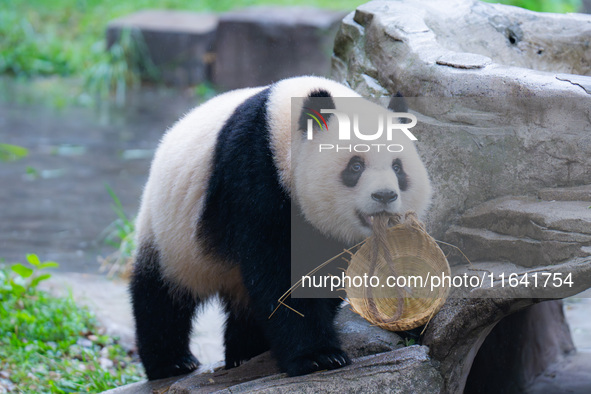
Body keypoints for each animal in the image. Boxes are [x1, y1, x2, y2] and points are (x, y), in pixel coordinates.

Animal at [132, 75, 432, 380]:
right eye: (356, 166)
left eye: (398, 168)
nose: (385, 196)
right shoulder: (253, 175)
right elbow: (277, 271)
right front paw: (318, 356)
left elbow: (324, 273)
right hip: (170, 233)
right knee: (161, 294)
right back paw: (172, 362)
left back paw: (246, 350)